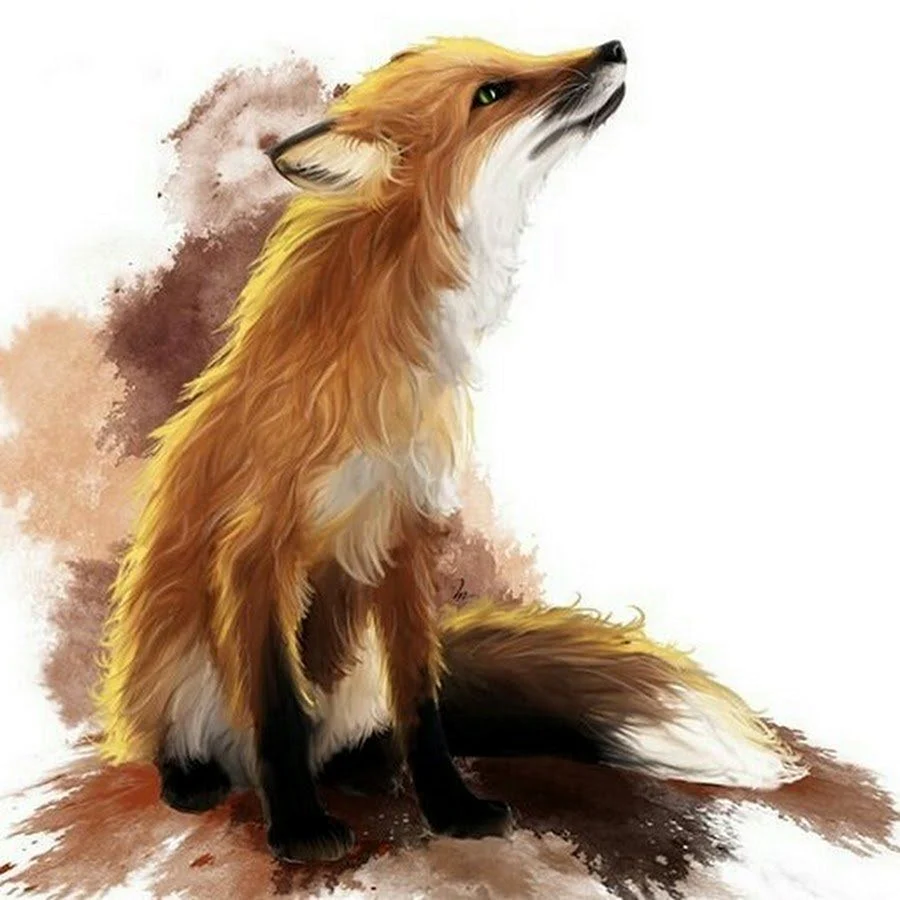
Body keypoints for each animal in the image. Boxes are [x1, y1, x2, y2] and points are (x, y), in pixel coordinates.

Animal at [96, 37, 805, 864]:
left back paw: (366, 771)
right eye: (492, 92)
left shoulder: (404, 533)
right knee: (192, 739)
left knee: (355, 735)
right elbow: (278, 714)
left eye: (509, 56)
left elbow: (423, 708)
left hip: (353, 667)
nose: (614, 46)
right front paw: (300, 828)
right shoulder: (255, 551)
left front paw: (451, 808)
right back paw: (195, 777)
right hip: (170, 658)